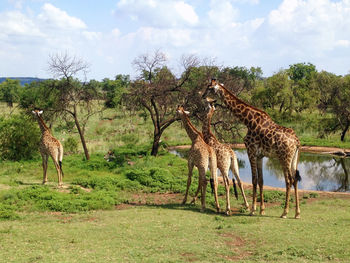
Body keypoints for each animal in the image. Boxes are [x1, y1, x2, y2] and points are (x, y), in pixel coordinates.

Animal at [202, 79, 300, 220]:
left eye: (209, 88)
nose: (203, 96)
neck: (248, 121)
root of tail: (297, 141)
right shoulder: (260, 155)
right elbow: (261, 180)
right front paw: (262, 210)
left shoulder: (251, 151)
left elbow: (254, 180)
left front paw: (253, 210)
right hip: (294, 158)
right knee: (295, 180)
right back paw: (297, 213)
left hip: (284, 157)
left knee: (289, 180)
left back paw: (285, 212)